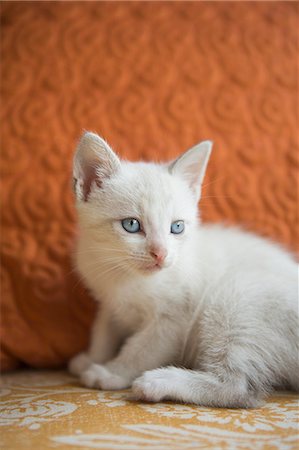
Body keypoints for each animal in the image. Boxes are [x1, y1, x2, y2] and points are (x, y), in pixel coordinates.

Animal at [69, 133, 298, 408]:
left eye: (177, 227)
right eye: (131, 225)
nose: (160, 253)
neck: (125, 277)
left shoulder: (175, 317)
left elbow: (141, 349)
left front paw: (110, 372)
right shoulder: (108, 300)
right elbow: (103, 329)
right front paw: (92, 357)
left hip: (235, 297)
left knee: (238, 388)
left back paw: (158, 383)